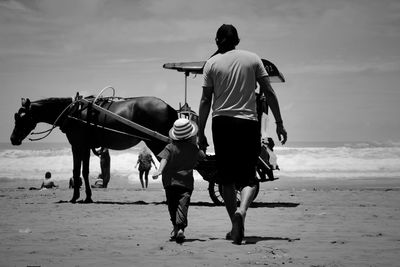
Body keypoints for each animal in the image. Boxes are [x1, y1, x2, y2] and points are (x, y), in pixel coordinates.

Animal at [10, 96, 177, 203]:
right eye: (16, 116)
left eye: (21, 117)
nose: (13, 139)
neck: (73, 112)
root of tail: (168, 107)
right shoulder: (86, 147)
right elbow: (85, 171)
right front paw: (88, 197)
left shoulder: (77, 145)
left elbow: (76, 171)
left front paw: (75, 197)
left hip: (157, 143)